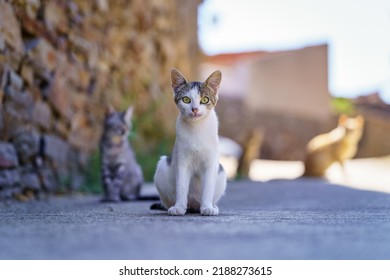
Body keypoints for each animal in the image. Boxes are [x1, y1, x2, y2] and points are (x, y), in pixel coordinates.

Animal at [152, 68, 225, 217]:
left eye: (204, 100)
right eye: (186, 100)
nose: (195, 109)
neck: (196, 129)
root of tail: (193, 205)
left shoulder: (211, 163)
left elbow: (208, 187)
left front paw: (207, 207)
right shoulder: (182, 161)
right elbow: (181, 185)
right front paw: (178, 207)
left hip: (221, 172)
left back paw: (211, 206)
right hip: (162, 167)